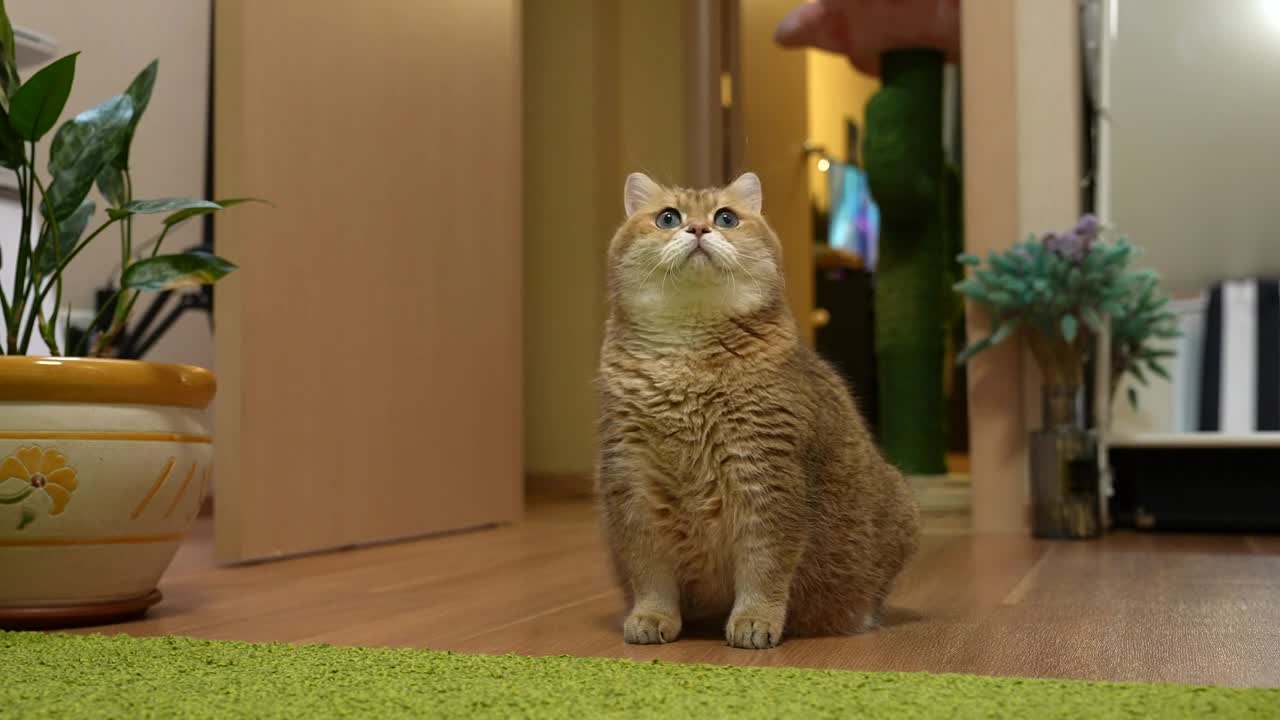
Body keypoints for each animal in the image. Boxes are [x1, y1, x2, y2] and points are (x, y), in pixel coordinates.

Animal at [593, 170, 916, 648]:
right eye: (668, 218)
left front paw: (754, 620)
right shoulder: (631, 484)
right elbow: (650, 573)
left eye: (726, 218)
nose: (698, 229)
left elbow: (765, 568)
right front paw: (651, 616)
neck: (687, 368)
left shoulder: (765, 477)